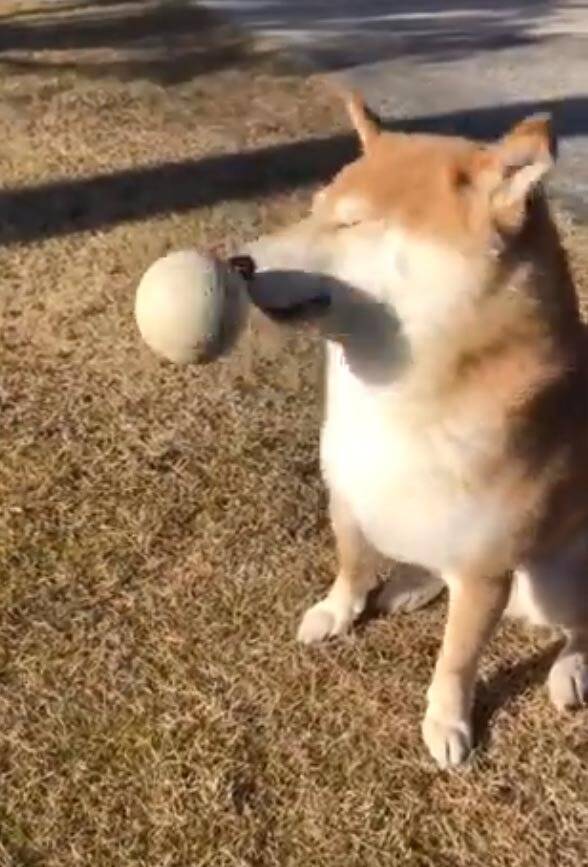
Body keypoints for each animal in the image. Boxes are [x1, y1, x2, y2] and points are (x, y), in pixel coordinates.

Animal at [248, 93, 588, 768]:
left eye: (351, 224)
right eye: (313, 211)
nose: (237, 262)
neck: (392, 399)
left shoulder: (485, 572)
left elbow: (456, 659)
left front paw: (447, 721)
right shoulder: (349, 494)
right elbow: (352, 564)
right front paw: (337, 611)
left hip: (561, 578)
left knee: (581, 629)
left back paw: (569, 670)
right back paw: (410, 585)